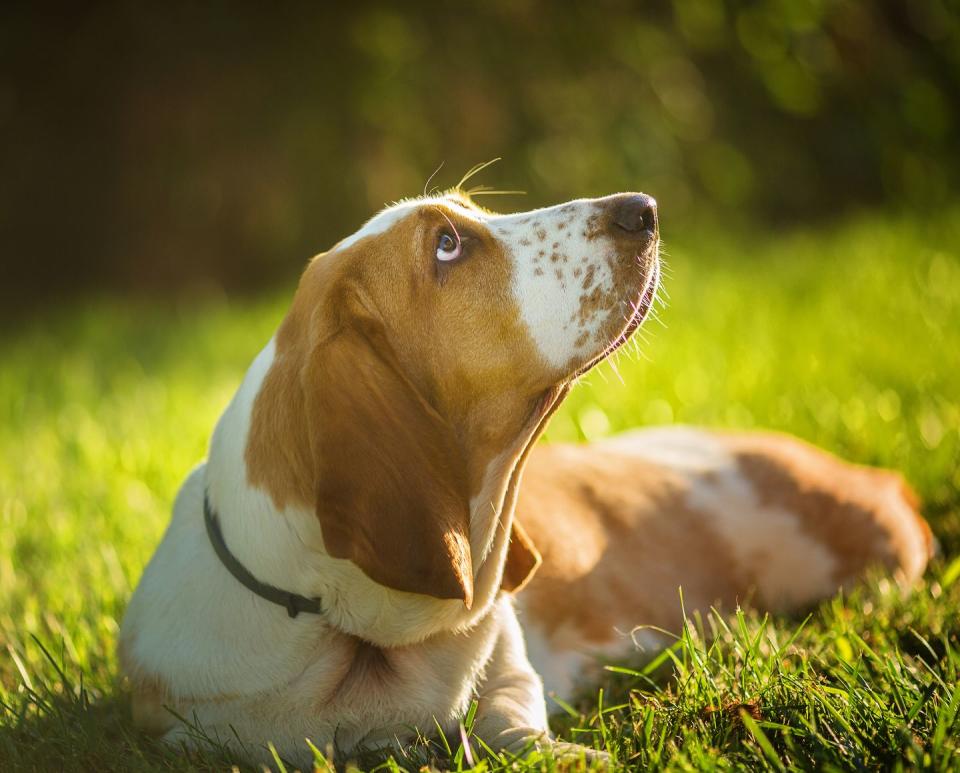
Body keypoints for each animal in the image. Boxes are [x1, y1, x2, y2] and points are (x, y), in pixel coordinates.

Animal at [118, 190, 928, 764]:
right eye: (447, 245)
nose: (644, 209)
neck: (353, 629)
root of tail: (878, 478)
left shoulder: (512, 673)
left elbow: (514, 721)